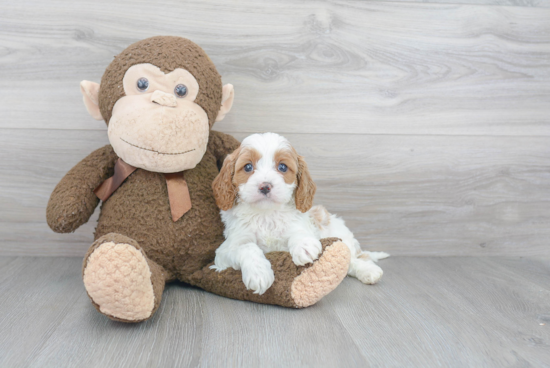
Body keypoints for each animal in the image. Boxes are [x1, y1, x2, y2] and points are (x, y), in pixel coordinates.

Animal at [210, 132, 388, 294]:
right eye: (248, 167)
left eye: (282, 167)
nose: (265, 186)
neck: (266, 214)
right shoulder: (225, 251)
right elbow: (246, 247)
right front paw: (258, 274)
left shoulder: (299, 224)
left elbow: (298, 232)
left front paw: (304, 246)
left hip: (341, 236)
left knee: (352, 260)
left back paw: (368, 271)